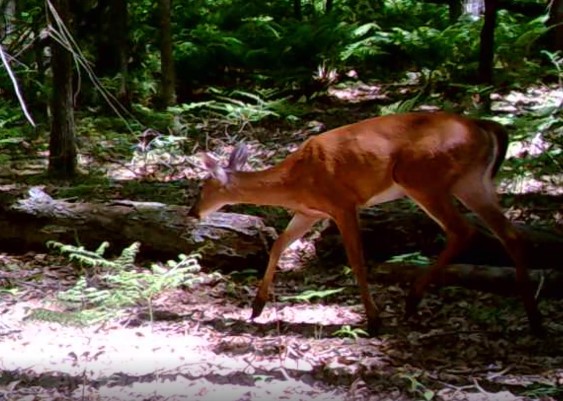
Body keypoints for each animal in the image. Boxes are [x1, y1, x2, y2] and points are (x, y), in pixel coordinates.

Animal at [189, 110, 548, 334]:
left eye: (202, 187)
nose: (193, 212)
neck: (294, 182)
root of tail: (483, 127)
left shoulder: (342, 204)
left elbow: (357, 261)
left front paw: (374, 320)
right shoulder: (310, 211)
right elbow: (278, 244)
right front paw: (257, 306)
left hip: (423, 177)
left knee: (464, 230)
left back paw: (413, 299)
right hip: (472, 181)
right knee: (510, 234)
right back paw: (534, 319)